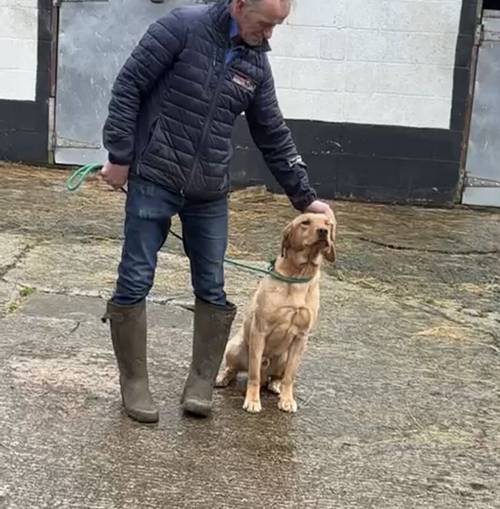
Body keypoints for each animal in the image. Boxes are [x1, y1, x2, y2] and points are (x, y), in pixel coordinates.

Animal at [215, 210, 336, 412]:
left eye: (327, 223)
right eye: (305, 222)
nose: (323, 231)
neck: (299, 275)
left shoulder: (301, 337)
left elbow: (290, 377)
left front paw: (287, 399)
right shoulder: (259, 331)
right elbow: (253, 375)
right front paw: (253, 400)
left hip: (285, 356)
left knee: (278, 376)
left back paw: (275, 384)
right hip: (234, 347)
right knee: (238, 369)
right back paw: (223, 377)